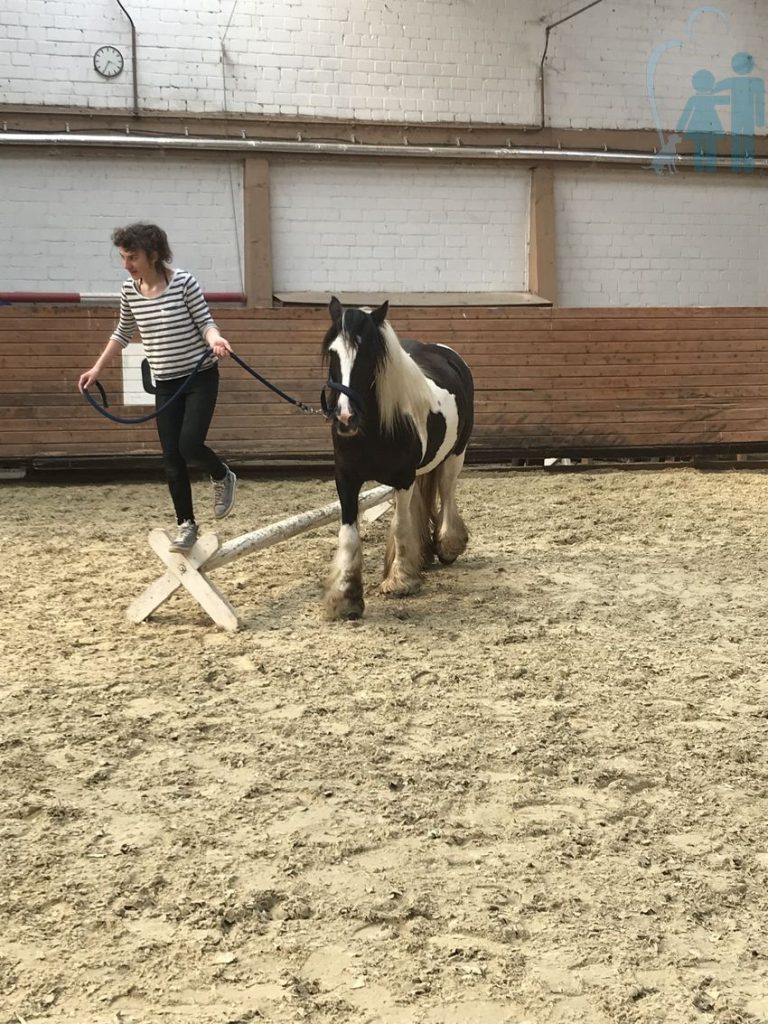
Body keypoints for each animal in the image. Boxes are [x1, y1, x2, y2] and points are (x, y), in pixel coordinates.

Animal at [321, 296, 474, 620]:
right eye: (332, 352)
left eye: (369, 354)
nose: (345, 418)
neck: (372, 430)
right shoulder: (346, 480)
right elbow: (349, 535)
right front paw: (345, 598)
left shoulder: (402, 479)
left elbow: (401, 525)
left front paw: (400, 580)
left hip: (455, 456)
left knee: (447, 492)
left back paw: (448, 546)